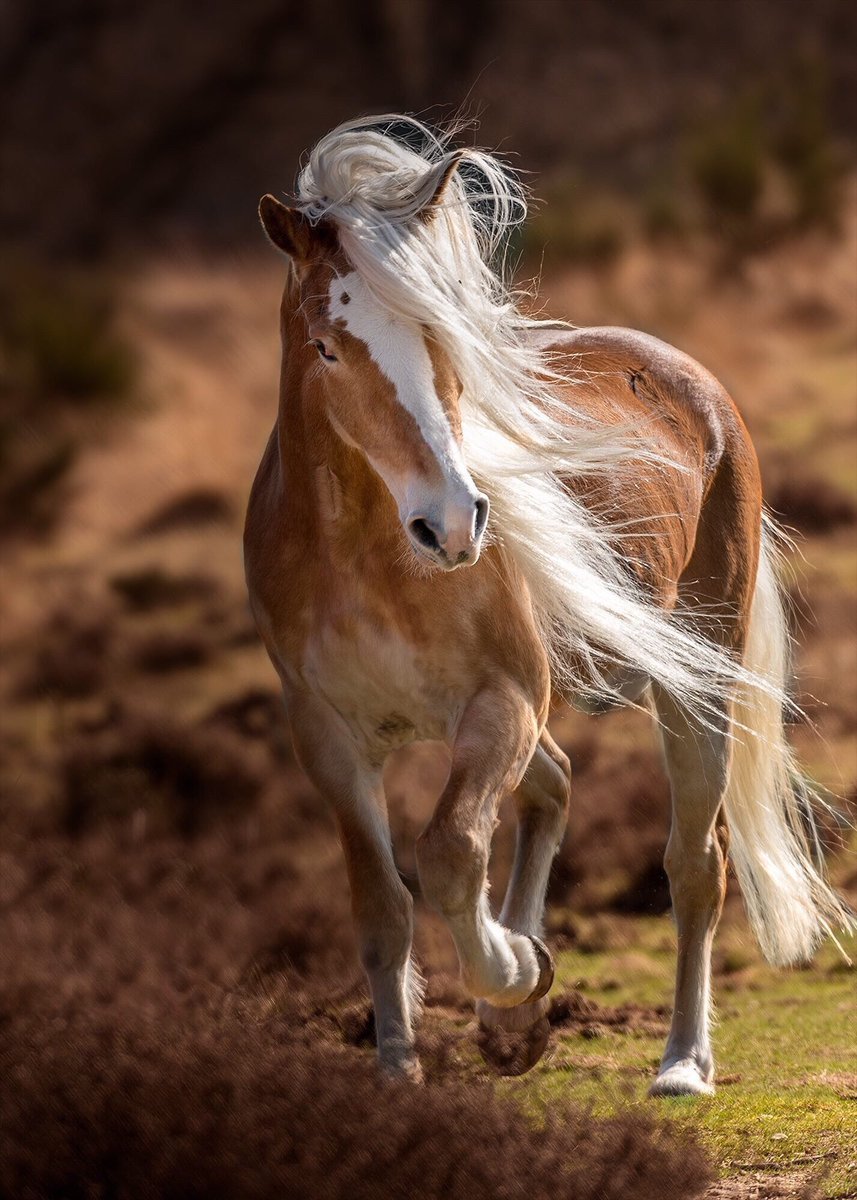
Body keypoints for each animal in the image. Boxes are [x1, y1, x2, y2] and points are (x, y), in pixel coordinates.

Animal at [243, 117, 849, 1094]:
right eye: (329, 347)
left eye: (444, 338)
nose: (453, 523)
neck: (364, 561)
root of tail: (690, 379)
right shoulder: (328, 740)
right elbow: (380, 904)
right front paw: (399, 1068)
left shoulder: (500, 705)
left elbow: (450, 854)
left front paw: (516, 971)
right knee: (557, 787)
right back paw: (515, 1025)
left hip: (692, 689)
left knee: (694, 866)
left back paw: (680, 1061)